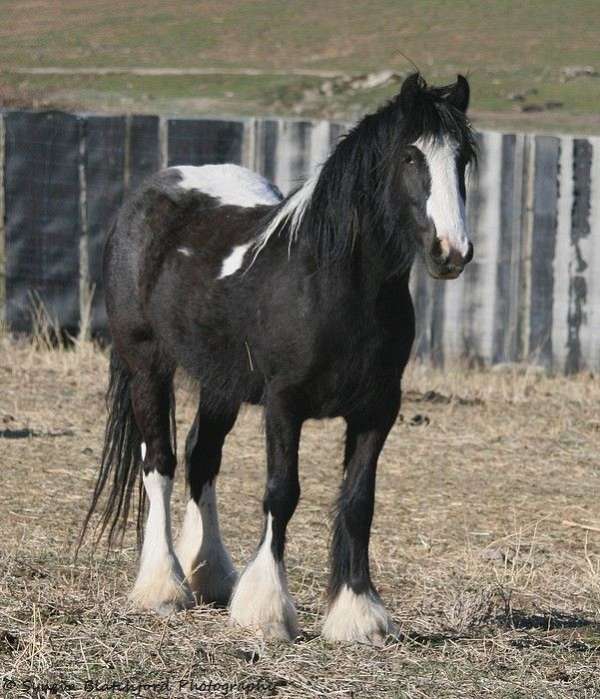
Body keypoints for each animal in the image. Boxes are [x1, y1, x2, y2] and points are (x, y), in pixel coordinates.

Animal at [82, 72, 478, 644]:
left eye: (463, 157)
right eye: (410, 156)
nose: (451, 251)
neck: (330, 285)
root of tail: (148, 195)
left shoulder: (378, 409)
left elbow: (359, 501)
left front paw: (358, 614)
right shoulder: (284, 405)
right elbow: (282, 492)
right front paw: (267, 610)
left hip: (220, 383)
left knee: (202, 458)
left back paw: (211, 575)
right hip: (146, 366)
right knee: (159, 462)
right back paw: (164, 588)